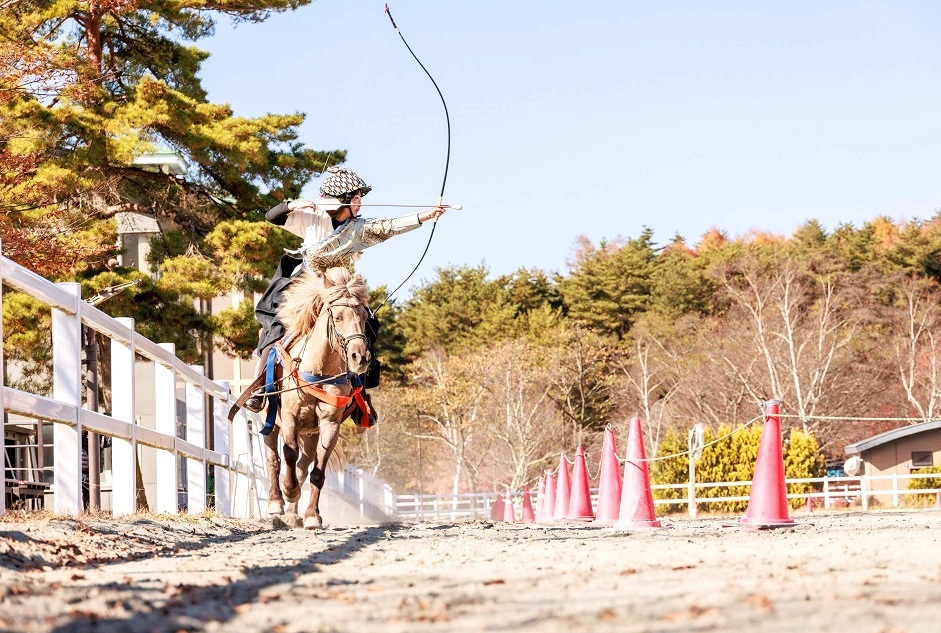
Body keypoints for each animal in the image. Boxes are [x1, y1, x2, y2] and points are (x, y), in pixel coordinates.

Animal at [262, 266, 372, 528]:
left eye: (364, 317)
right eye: (338, 317)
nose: (360, 357)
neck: (319, 371)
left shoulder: (329, 425)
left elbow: (317, 471)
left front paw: (312, 514)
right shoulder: (290, 417)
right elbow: (288, 453)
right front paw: (289, 490)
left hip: (310, 434)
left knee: (303, 465)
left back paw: (293, 513)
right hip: (270, 421)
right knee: (274, 459)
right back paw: (276, 502)